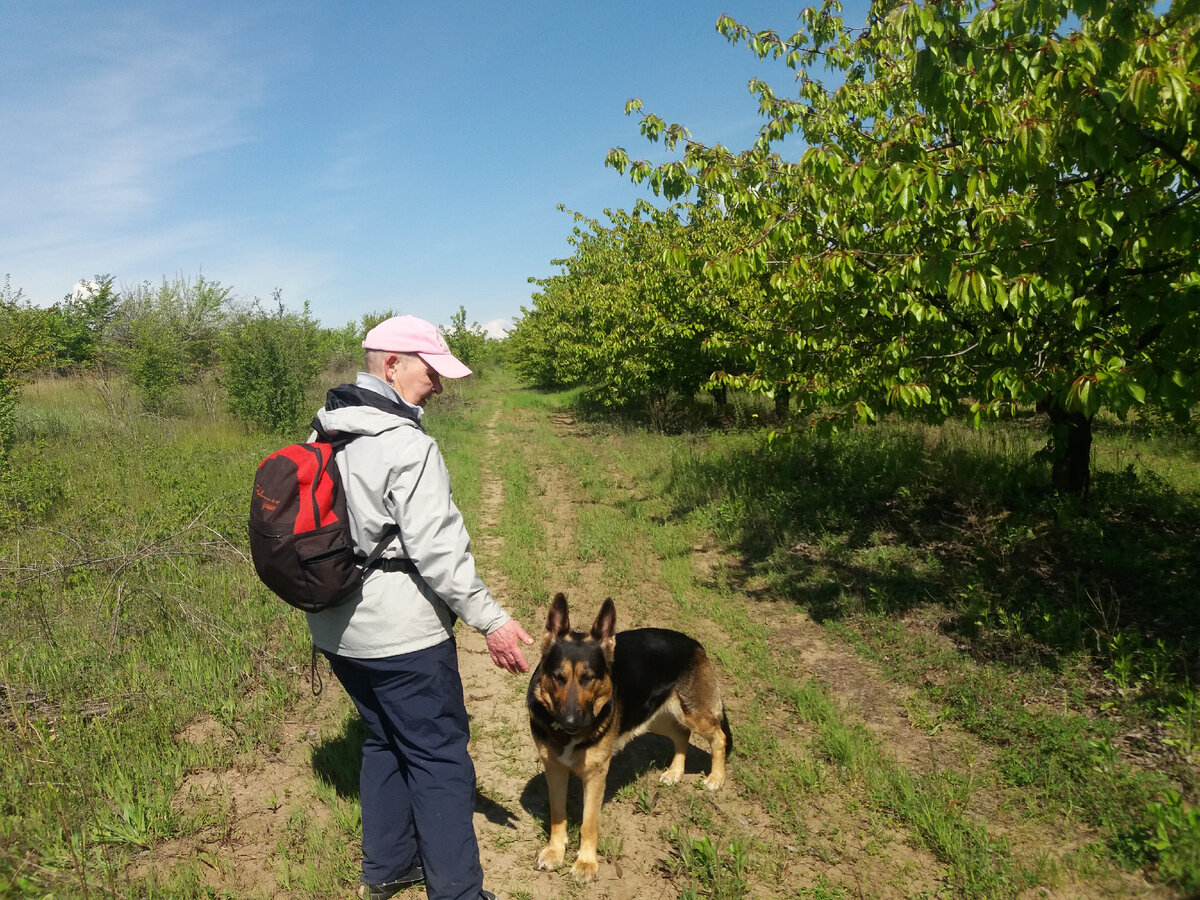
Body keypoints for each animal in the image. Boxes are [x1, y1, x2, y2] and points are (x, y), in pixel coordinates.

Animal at [525, 595, 729, 883]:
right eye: (558, 677)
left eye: (589, 678)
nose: (571, 723)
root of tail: (693, 643)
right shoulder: (554, 768)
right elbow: (557, 813)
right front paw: (555, 850)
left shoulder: (596, 776)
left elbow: (589, 823)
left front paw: (586, 863)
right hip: (654, 717)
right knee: (682, 734)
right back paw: (675, 772)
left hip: (692, 714)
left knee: (718, 736)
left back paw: (716, 778)